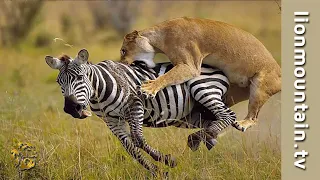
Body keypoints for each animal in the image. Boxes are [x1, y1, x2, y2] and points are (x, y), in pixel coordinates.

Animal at [44, 48, 240, 175]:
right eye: (59, 82)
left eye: (79, 77)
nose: (71, 108)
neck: (100, 89)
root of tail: (215, 67)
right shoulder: (111, 120)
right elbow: (130, 148)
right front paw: (156, 171)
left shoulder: (135, 104)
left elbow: (138, 139)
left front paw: (167, 161)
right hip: (193, 114)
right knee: (216, 120)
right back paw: (207, 138)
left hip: (202, 88)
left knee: (228, 116)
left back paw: (200, 138)